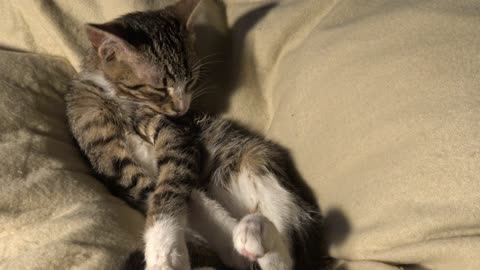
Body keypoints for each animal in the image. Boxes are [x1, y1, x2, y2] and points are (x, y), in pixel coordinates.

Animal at [65, 0, 322, 270]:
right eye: (159, 88)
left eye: (190, 82)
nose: (182, 108)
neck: (117, 97)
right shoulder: (108, 158)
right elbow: (157, 192)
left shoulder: (177, 135)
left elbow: (172, 185)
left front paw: (163, 251)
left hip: (259, 164)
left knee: (287, 255)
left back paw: (254, 230)